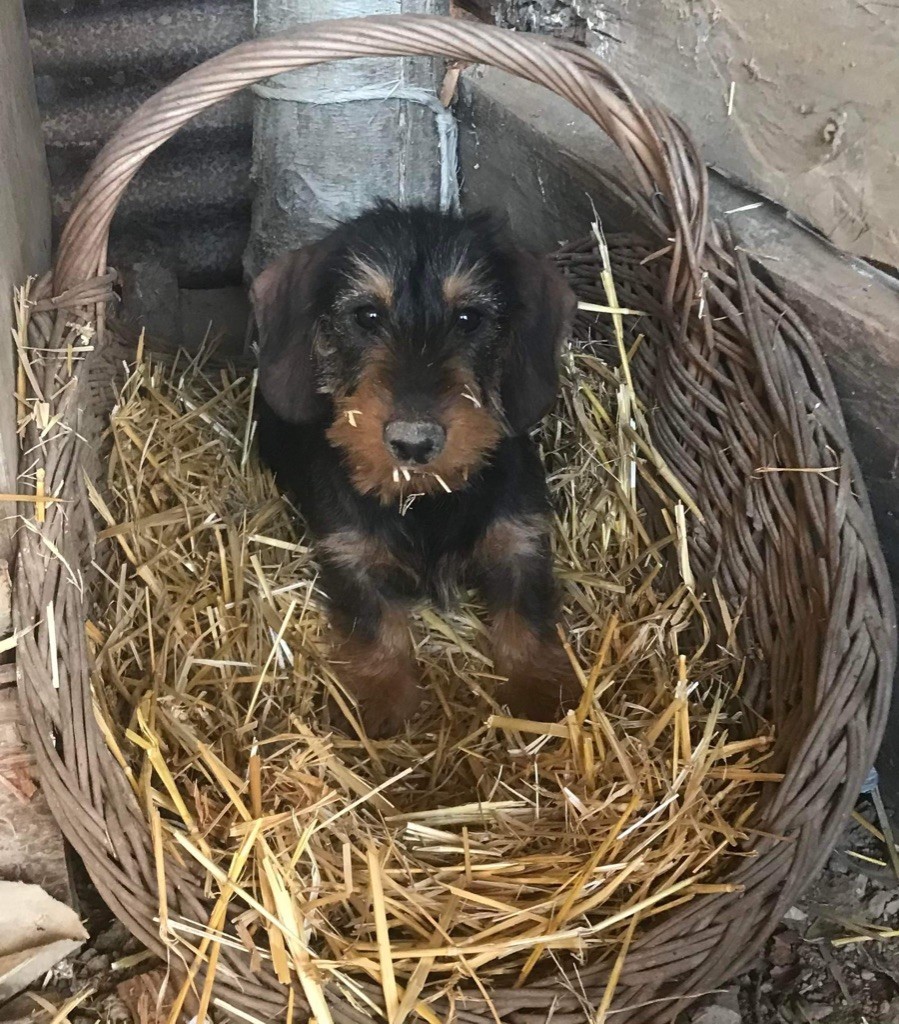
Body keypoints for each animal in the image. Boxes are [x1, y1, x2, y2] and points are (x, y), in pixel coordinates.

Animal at [249, 199, 581, 741]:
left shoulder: (521, 539)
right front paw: (382, 703)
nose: (413, 441)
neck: (427, 499)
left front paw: (540, 695)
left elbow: (526, 614)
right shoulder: (349, 554)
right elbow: (377, 624)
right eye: (366, 315)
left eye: (469, 317)